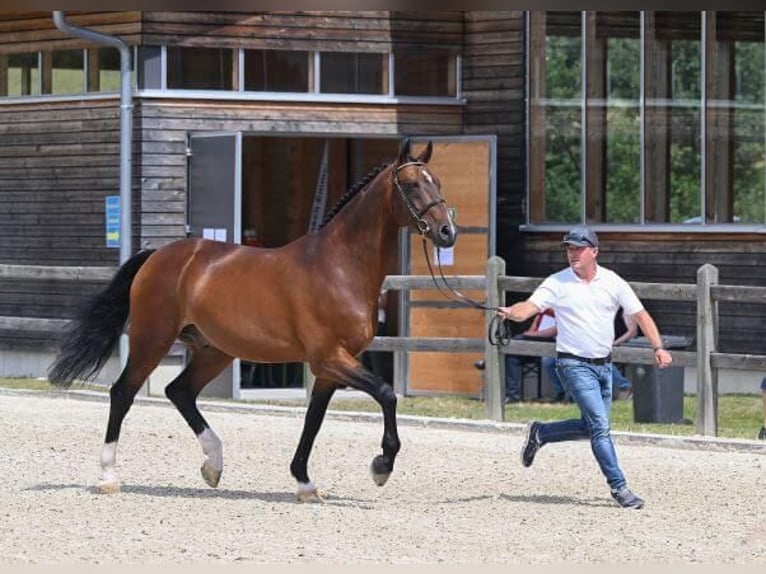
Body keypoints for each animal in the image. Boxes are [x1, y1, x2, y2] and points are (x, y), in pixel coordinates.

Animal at [49, 137, 456, 502]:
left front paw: (304, 483)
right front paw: (381, 466)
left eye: (437, 181)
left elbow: (313, 421)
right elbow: (386, 394)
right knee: (123, 393)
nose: (447, 232)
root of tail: (157, 255)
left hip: (216, 350)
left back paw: (213, 465)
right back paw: (108, 476)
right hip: (153, 340)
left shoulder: (330, 367)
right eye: (411, 184)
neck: (339, 267)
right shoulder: (329, 357)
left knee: (179, 392)